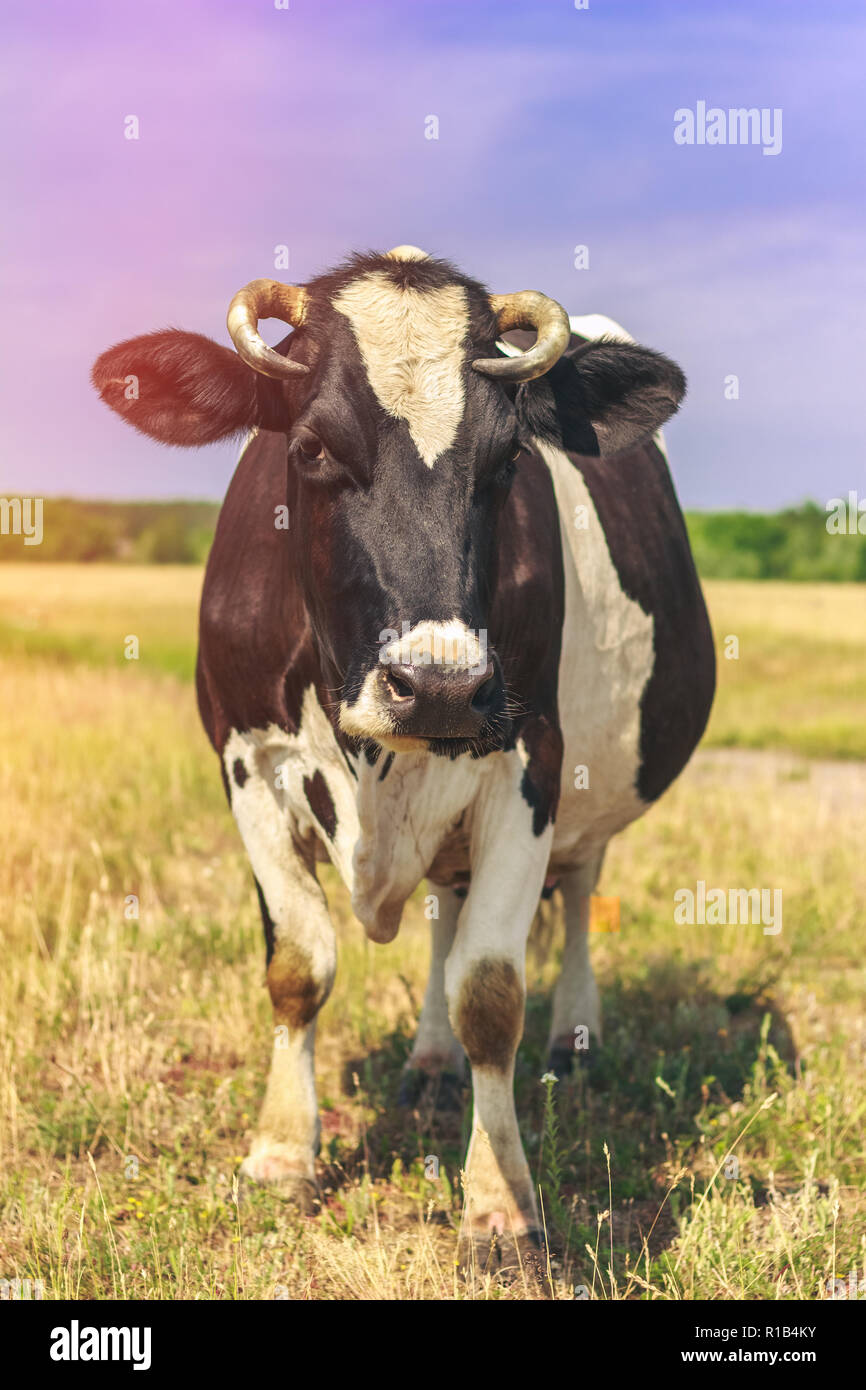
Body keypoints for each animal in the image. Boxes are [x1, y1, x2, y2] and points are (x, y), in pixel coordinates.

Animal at [92, 244, 715, 1271]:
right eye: (310, 448)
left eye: (509, 460)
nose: (441, 686)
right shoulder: (247, 762)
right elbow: (300, 965)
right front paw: (279, 1156)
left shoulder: (528, 764)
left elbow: (491, 992)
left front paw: (499, 1205)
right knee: (444, 909)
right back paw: (427, 1063)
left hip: (587, 790)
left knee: (578, 891)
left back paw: (573, 1040)